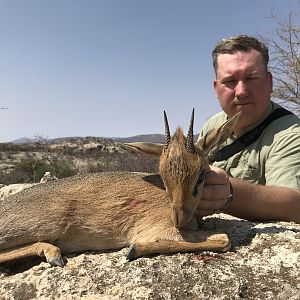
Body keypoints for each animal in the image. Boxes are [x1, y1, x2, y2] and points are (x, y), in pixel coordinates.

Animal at [0, 109, 239, 266]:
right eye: (163, 176)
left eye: (201, 175)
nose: (178, 219)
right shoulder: (156, 229)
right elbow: (225, 239)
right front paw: (134, 249)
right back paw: (53, 253)